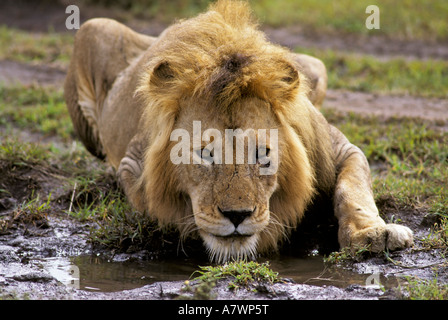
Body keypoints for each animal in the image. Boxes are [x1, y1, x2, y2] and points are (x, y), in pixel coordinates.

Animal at [64, 0, 412, 262]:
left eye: (263, 154)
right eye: (204, 154)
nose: (237, 216)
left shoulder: (337, 148)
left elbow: (353, 188)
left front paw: (374, 233)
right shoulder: (133, 164)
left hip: (316, 68)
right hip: (93, 29)